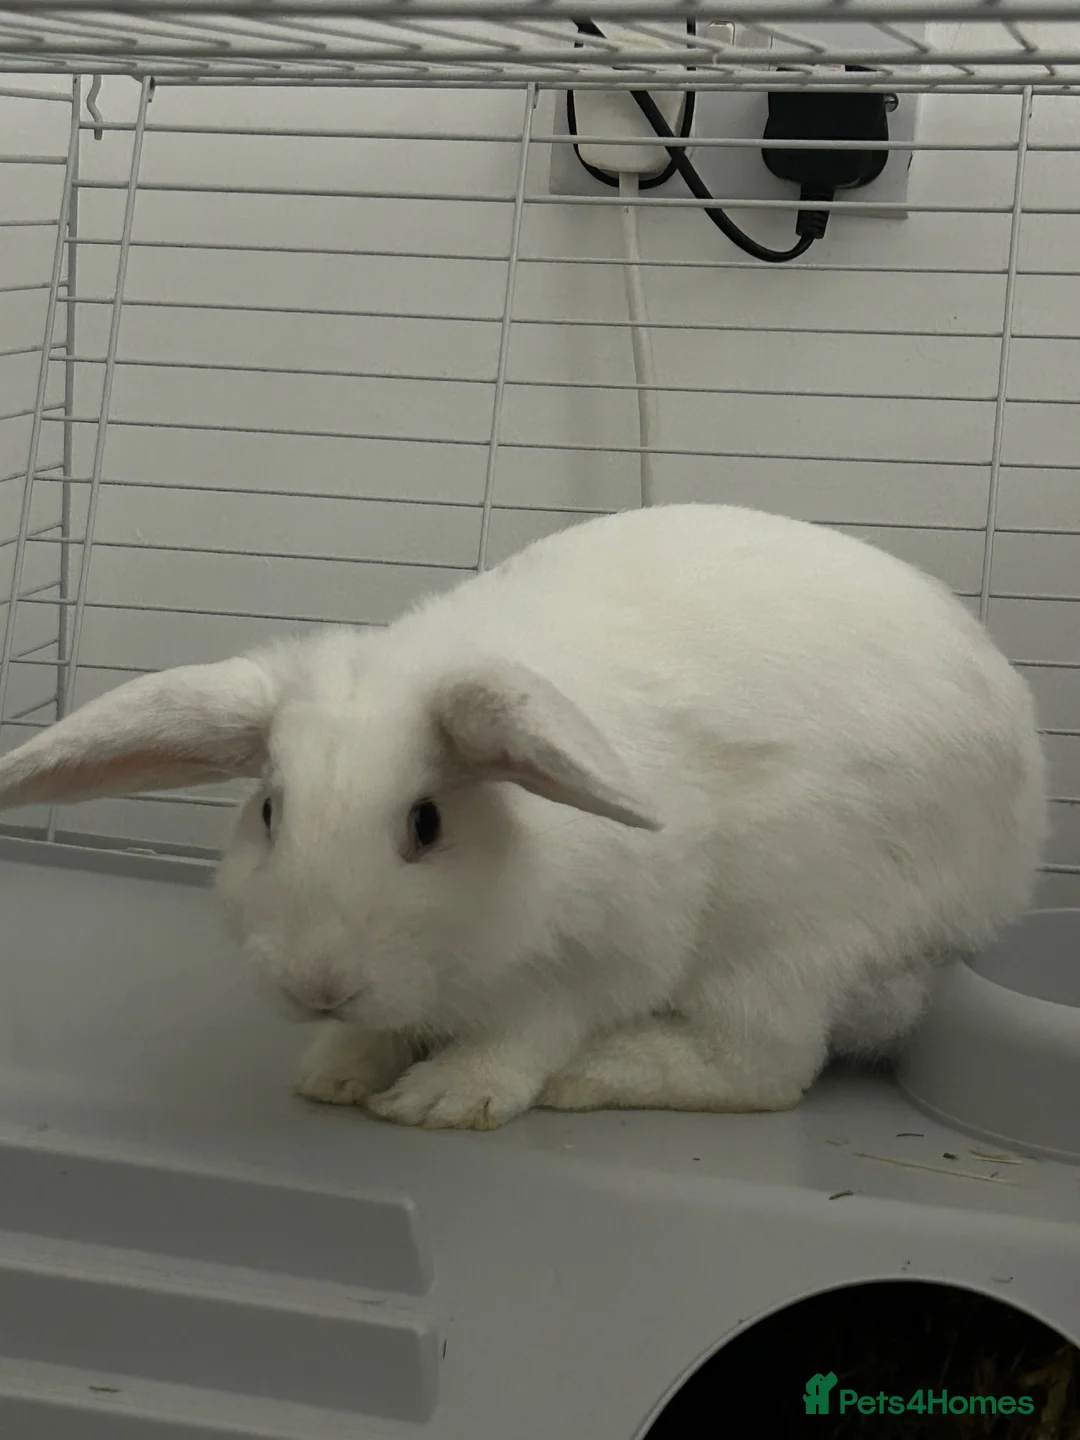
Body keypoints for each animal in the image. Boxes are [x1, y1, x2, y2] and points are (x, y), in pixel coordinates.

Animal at [0, 503, 1046, 1130]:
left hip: (788, 932)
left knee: (765, 1067)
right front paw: (336, 1071)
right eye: (267, 809)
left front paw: (442, 1097)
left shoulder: (601, 963)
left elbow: (531, 1034)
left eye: (426, 824)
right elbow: (376, 1036)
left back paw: (603, 1076)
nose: (319, 983)